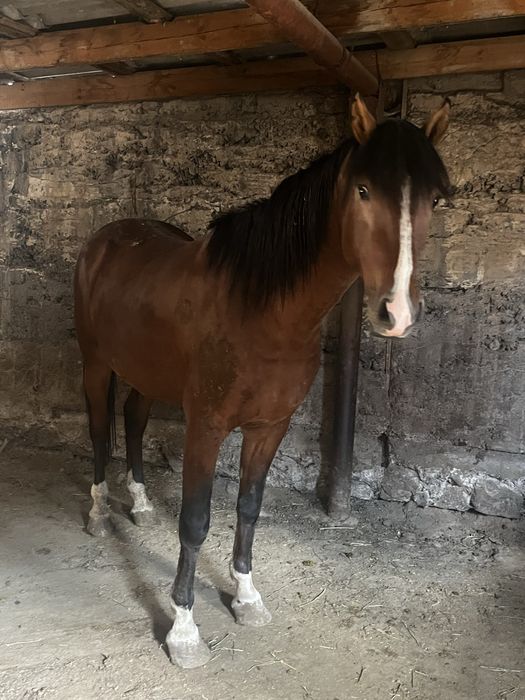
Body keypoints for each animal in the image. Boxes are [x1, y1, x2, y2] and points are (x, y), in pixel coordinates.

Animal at [74, 95, 451, 668]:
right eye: (363, 191)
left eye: (432, 198)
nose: (398, 313)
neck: (262, 313)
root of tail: (105, 239)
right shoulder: (206, 427)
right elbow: (196, 520)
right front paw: (184, 630)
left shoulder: (270, 426)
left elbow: (248, 508)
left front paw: (247, 597)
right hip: (96, 364)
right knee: (100, 432)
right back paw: (99, 512)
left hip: (146, 373)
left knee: (134, 422)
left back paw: (138, 504)